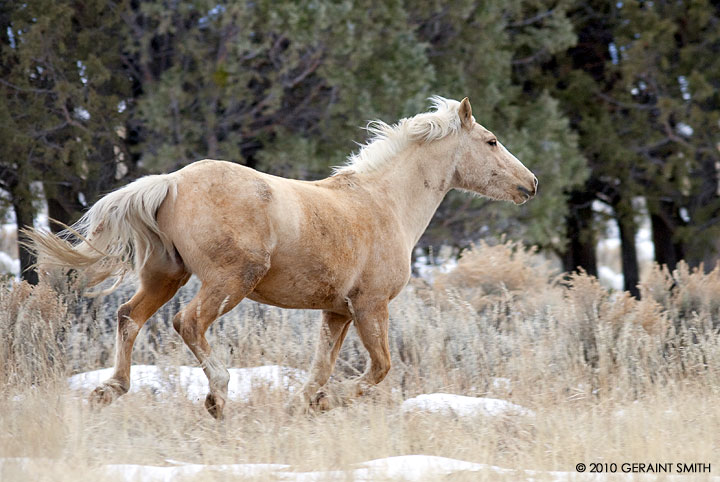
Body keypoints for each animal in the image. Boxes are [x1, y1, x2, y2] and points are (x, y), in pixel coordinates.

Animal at [25, 97, 536, 418]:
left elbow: (320, 368)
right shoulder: (371, 306)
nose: (530, 184)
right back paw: (217, 397)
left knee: (129, 317)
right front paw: (334, 401)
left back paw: (108, 391)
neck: (382, 204)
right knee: (187, 322)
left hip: (166, 276)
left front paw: (307, 405)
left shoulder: (337, 312)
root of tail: (170, 181)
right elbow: (380, 367)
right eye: (491, 141)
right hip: (229, 282)